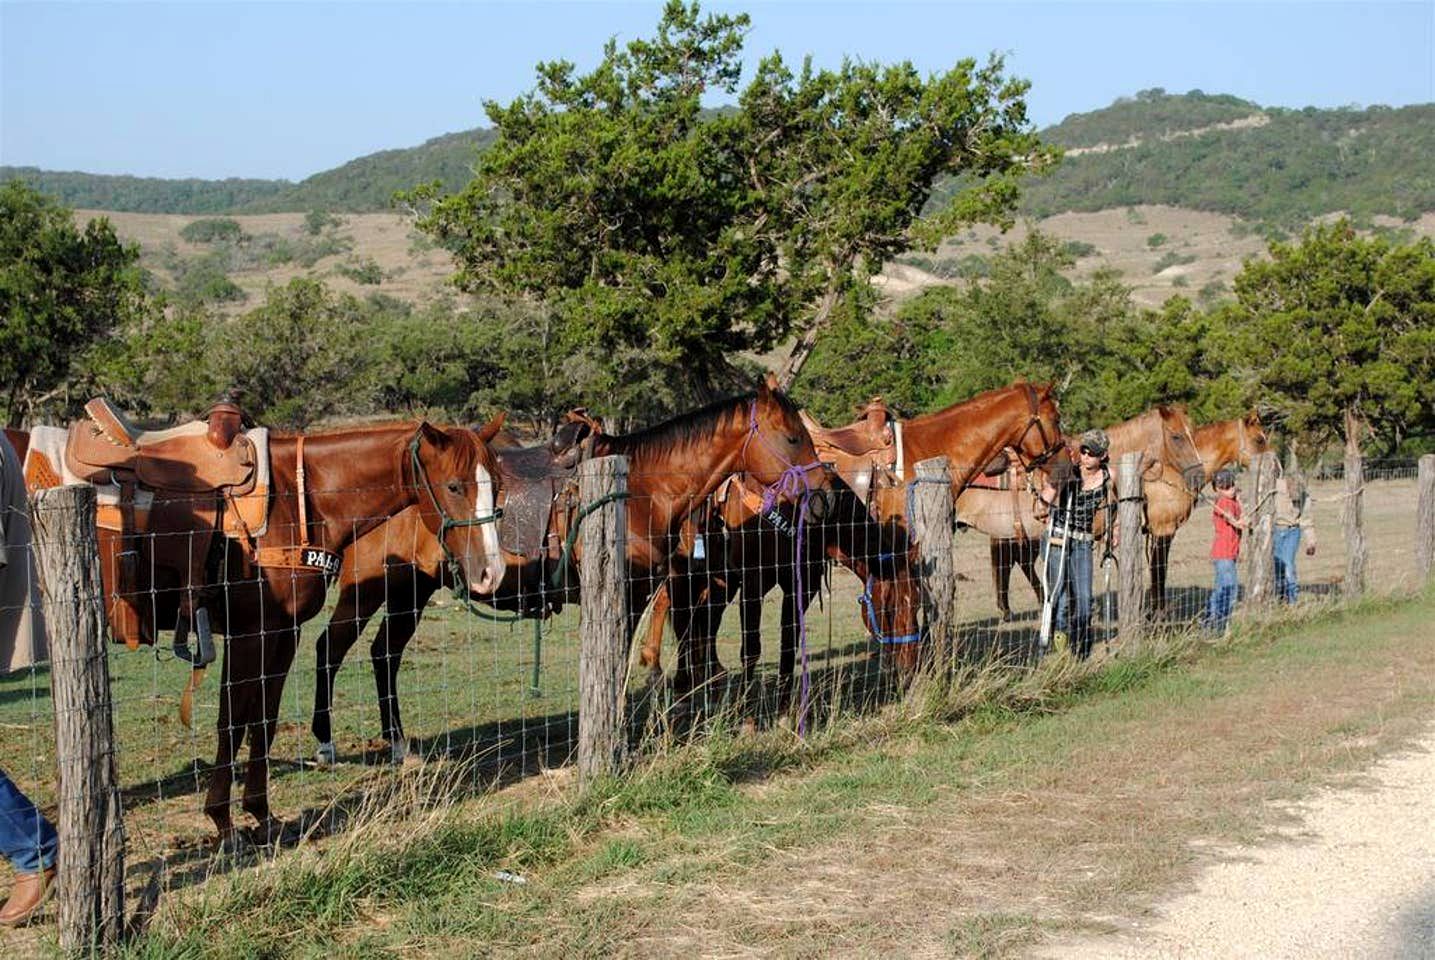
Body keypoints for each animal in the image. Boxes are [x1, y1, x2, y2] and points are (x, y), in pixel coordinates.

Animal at [304, 378, 826, 757]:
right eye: (793, 437)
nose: (822, 497)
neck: (641, 490)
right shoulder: (629, 593)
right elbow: (616, 664)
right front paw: (613, 731)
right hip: (369, 589)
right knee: (332, 648)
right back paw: (327, 743)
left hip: (410, 591)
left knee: (384, 654)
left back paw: (397, 743)